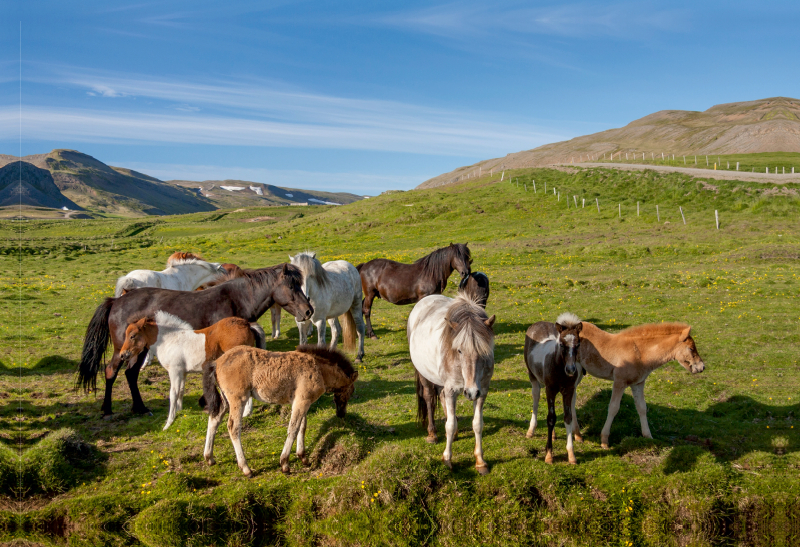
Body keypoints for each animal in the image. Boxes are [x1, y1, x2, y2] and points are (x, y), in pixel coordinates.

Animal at [76, 264, 310, 416]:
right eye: (292, 287)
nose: (309, 311)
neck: (234, 299)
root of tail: (116, 301)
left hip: (138, 350)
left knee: (130, 374)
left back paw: (140, 408)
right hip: (122, 350)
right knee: (111, 372)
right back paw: (107, 409)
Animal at [202, 346, 358, 480]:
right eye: (351, 392)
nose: (341, 414)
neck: (319, 369)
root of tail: (217, 362)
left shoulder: (302, 402)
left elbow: (302, 427)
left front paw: (303, 457)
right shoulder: (302, 401)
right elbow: (293, 429)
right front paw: (285, 464)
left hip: (225, 400)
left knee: (214, 419)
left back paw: (209, 458)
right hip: (238, 399)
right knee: (233, 427)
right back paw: (246, 469)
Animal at [520, 314, 584, 464]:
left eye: (578, 344)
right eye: (561, 344)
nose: (571, 370)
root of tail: (539, 323)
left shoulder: (568, 390)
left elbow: (567, 417)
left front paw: (571, 455)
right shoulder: (550, 389)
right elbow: (550, 419)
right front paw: (549, 455)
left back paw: (554, 435)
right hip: (533, 378)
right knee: (536, 399)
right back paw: (531, 430)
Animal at [568, 322, 708, 450]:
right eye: (691, 348)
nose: (702, 367)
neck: (640, 353)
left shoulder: (638, 383)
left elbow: (642, 407)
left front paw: (648, 437)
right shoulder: (619, 382)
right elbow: (613, 408)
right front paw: (604, 441)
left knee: (572, 398)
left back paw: (578, 435)